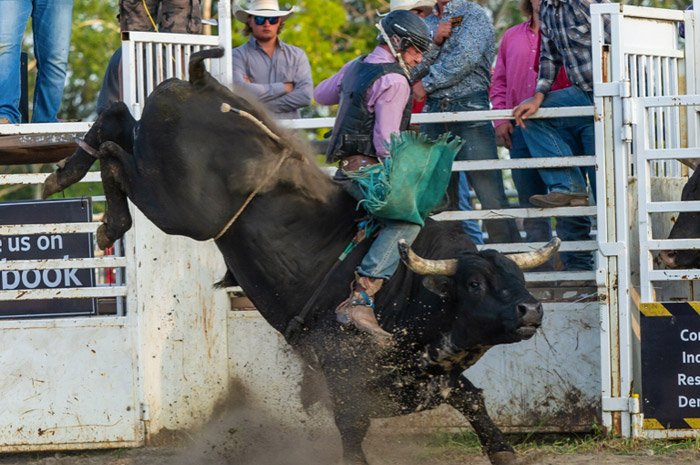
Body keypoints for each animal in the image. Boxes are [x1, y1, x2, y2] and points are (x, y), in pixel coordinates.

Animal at [42, 49, 556, 462]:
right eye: (474, 283)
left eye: (518, 279)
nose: (531, 309)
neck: (413, 291)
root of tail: (202, 81)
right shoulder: (346, 381)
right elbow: (352, 433)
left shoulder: (427, 380)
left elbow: (474, 402)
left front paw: (503, 450)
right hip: (179, 206)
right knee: (117, 156)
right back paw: (103, 214)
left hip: (155, 153)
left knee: (116, 118)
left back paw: (66, 172)